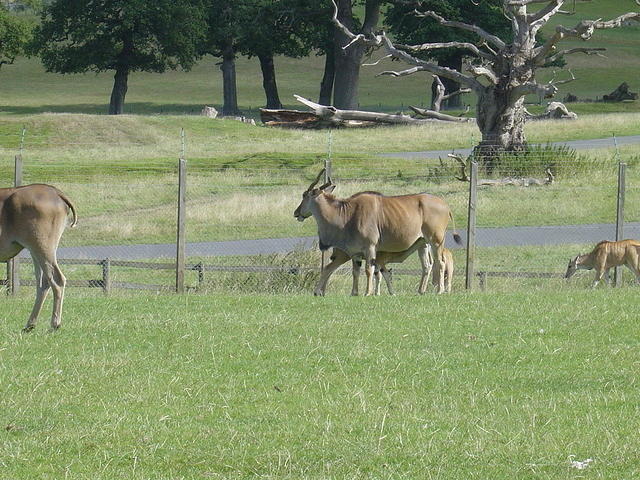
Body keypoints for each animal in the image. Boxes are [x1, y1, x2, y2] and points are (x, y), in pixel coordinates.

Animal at [0, 184, 77, 330]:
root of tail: (55, 192)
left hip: (41, 246)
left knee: (57, 279)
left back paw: (54, 324)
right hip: (35, 250)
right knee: (43, 282)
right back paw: (30, 325)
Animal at [296, 171, 460, 294]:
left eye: (304, 195)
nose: (296, 212)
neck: (347, 214)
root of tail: (446, 205)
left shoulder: (370, 248)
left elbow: (369, 270)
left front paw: (368, 293)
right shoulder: (355, 253)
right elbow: (356, 272)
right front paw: (354, 293)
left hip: (436, 241)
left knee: (441, 263)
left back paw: (440, 291)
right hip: (423, 243)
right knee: (427, 265)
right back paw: (421, 291)